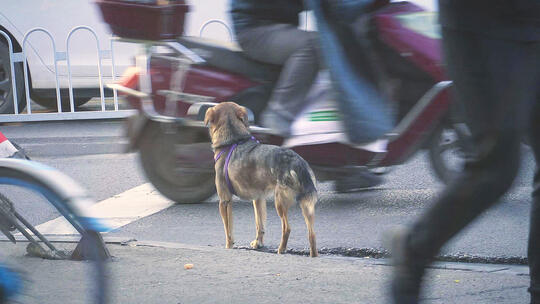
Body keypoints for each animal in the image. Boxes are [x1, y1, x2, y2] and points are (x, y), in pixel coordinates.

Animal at [205, 101, 318, 256]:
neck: (233, 140)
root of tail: (297, 161)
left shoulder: (224, 201)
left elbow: (228, 229)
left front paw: (229, 246)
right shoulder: (258, 199)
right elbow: (260, 224)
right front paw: (258, 243)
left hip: (280, 201)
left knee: (287, 228)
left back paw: (281, 249)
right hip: (307, 206)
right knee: (312, 233)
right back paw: (313, 255)